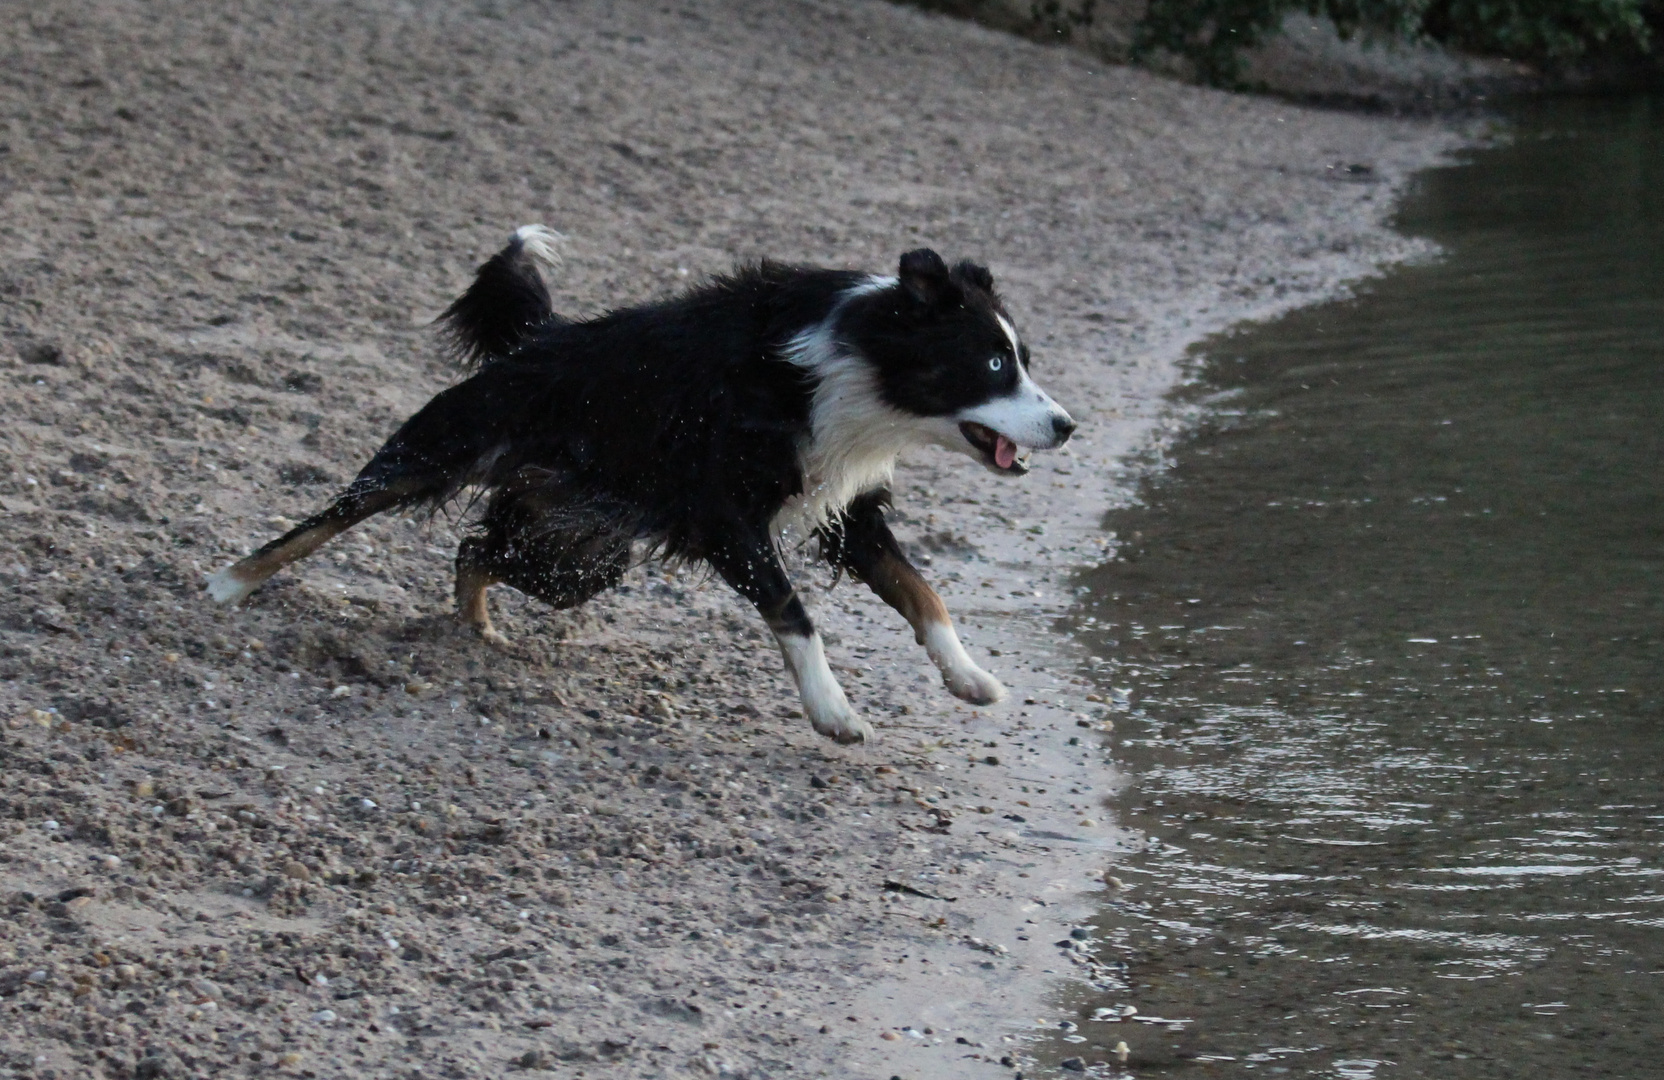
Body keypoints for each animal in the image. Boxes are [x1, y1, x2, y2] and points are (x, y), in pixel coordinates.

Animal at [204, 226, 1078, 742]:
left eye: (1023, 359)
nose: (1068, 425)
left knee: (476, 551)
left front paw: (969, 677)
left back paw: (479, 627)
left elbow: (922, 591)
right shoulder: (727, 514)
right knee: (332, 517)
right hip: (443, 452)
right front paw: (832, 710)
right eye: (993, 364)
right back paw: (229, 584)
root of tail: (542, 336)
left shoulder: (847, 509)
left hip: (580, 554)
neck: (852, 365)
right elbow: (795, 614)